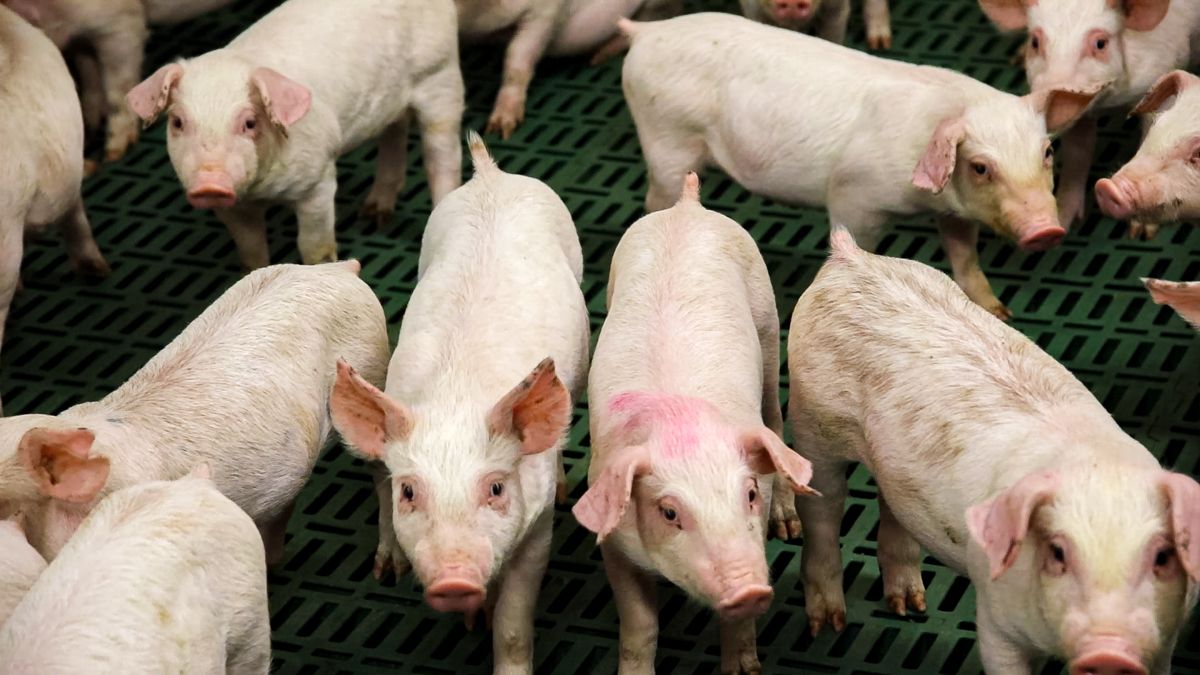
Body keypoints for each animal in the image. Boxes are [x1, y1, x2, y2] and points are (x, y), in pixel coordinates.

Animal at [126, 0, 465, 270]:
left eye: (250, 122)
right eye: (178, 122)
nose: (210, 182)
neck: (262, 191)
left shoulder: (317, 180)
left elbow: (313, 246)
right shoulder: (232, 207)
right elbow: (251, 251)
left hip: (440, 76)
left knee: (442, 156)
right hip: (391, 103)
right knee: (394, 131)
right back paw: (373, 215)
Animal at [328, 133, 589, 675]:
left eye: (495, 488)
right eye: (410, 491)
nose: (453, 579)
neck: (455, 400)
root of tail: (492, 176)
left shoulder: (537, 528)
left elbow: (514, 622)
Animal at [572, 174, 815, 675]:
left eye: (749, 494)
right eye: (669, 512)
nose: (749, 589)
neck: (683, 428)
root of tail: (687, 208)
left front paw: (744, 669)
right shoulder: (614, 538)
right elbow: (639, 625)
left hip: (765, 316)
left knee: (774, 417)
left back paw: (789, 527)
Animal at [621, 12, 1102, 320]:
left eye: (1047, 152)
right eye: (981, 166)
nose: (1047, 230)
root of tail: (646, 30)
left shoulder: (953, 212)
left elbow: (965, 257)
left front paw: (1001, 313)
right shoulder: (855, 197)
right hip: (666, 140)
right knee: (654, 201)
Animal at [788, 226, 1200, 675]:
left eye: (1162, 556)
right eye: (1058, 552)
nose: (1111, 651)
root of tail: (850, 258)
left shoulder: (1167, 636)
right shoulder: (995, 619)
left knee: (889, 503)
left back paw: (910, 607)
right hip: (812, 417)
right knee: (823, 510)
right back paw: (828, 625)